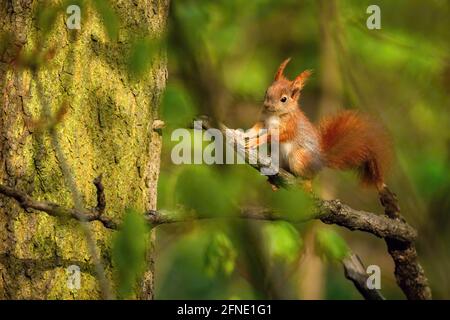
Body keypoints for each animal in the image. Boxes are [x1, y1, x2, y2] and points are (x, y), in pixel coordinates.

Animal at [244, 58, 392, 191]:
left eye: (284, 99)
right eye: (267, 91)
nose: (267, 105)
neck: (274, 115)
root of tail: (321, 160)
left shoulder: (290, 127)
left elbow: (274, 135)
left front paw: (256, 141)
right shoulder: (263, 121)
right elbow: (257, 128)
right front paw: (246, 134)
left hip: (299, 159)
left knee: (310, 175)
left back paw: (307, 183)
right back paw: (274, 182)